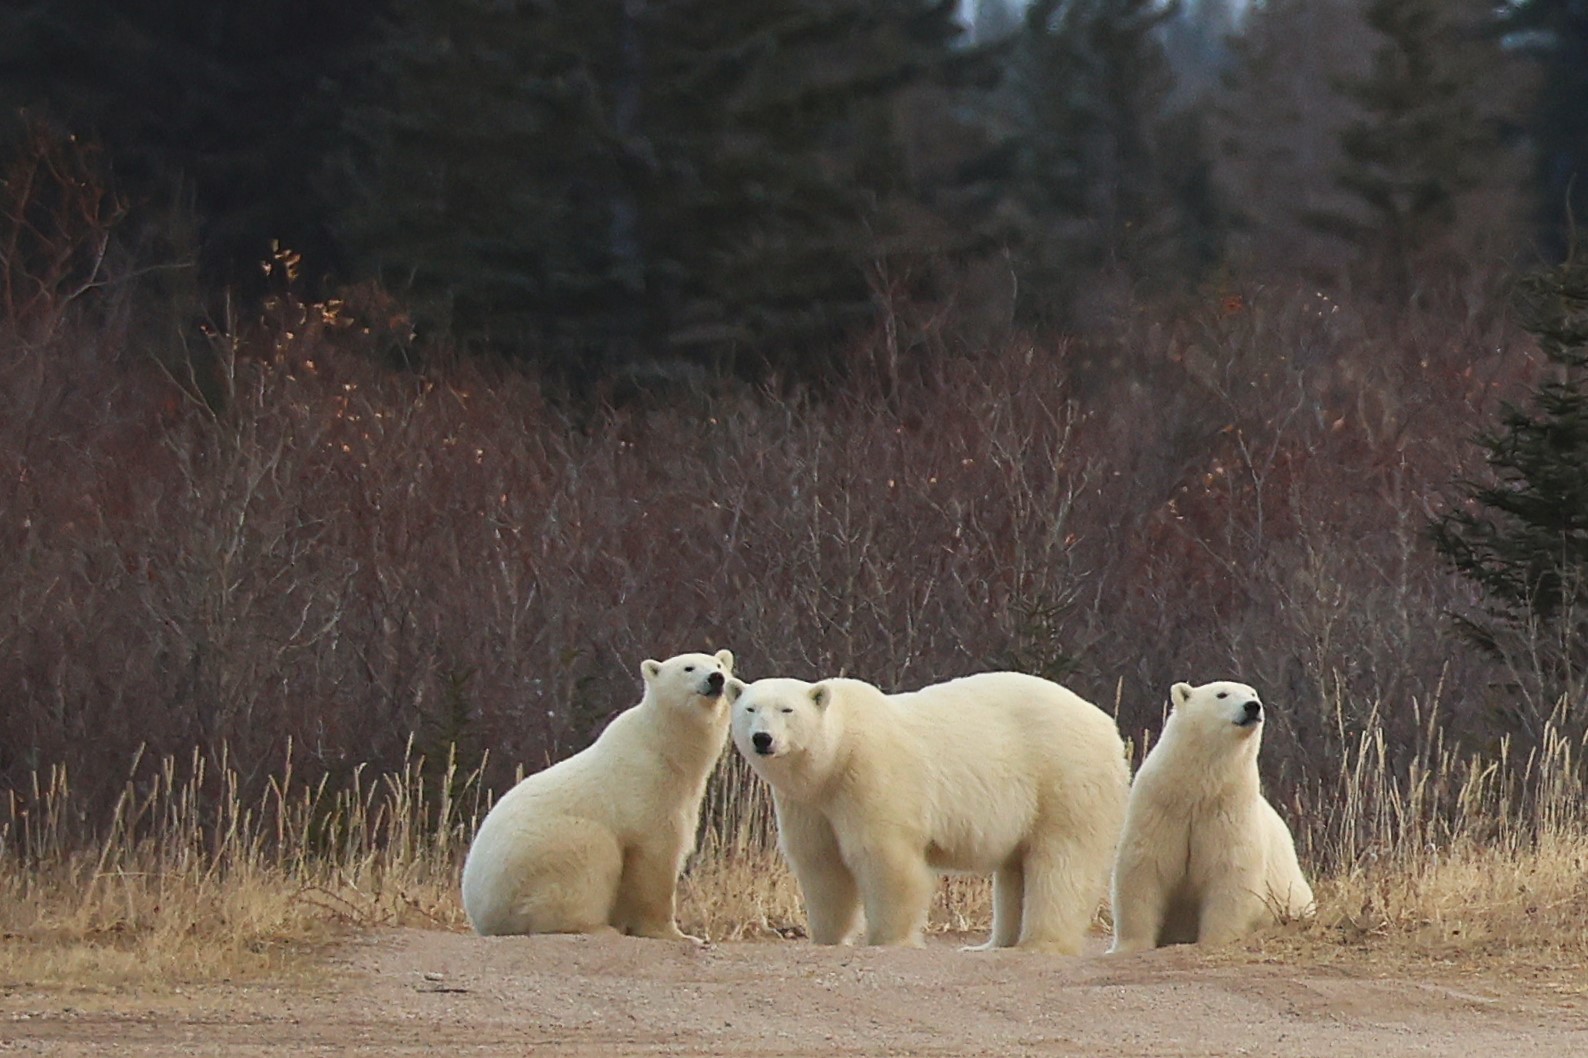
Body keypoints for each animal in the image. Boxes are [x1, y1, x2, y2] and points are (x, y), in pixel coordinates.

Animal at [457, 648, 733, 934]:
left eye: (718, 664)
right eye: (688, 668)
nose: (716, 679)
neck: (663, 748)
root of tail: (482, 915)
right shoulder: (646, 789)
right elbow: (655, 859)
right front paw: (675, 934)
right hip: (540, 858)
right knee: (593, 852)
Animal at [730, 670, 1130, 953]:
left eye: (787, 709)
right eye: (750, 709)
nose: (762, 738)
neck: (837, 755)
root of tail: (1107, 726)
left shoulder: (869, 776)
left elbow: (884, 857)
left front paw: (888, 938)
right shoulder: (808, 802)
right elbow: (821, 861)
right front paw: (828, 935)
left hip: (1062, 780)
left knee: (1062, 862)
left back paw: (1040, 942)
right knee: (1016, 867)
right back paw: (992, 944)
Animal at [1105, 679, 1314, 953]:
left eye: (1252, 693)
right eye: (1222, 694)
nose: (1252, 706)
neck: (1198, 791)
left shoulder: (1229, 809)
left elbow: (1230, 871)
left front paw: (1217, 939)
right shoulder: (1159, 807)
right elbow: (1145, 868)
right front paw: (1130, 946)